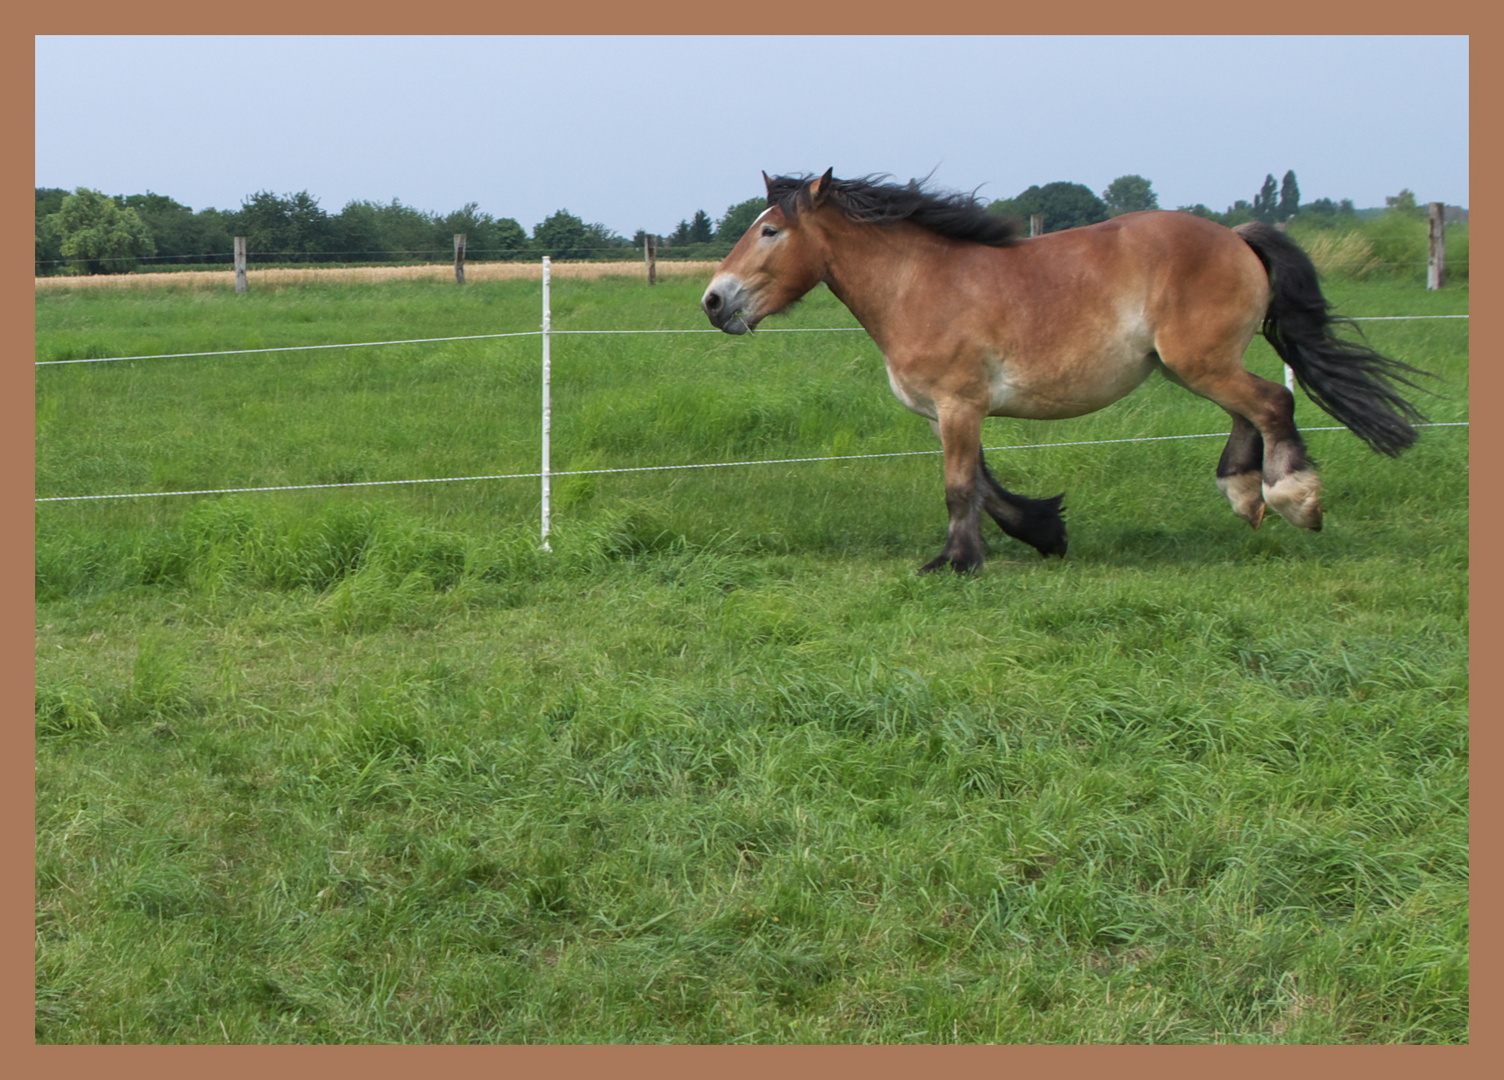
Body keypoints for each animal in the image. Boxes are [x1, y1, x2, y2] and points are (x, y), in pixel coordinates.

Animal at [697, 169, 1425, 574]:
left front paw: (956, 565)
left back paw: (1293, 498)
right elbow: (986, 487)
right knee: (1254, 409)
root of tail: (1237, 235)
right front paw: (1045, 533)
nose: (713, 301)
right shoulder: (947, 413)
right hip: (1194, 365)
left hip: (1202, 362)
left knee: (1273, 402)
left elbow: (960, 489)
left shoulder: (959, 406)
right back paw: (1247, 494)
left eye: (769, 231)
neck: (918, 283)